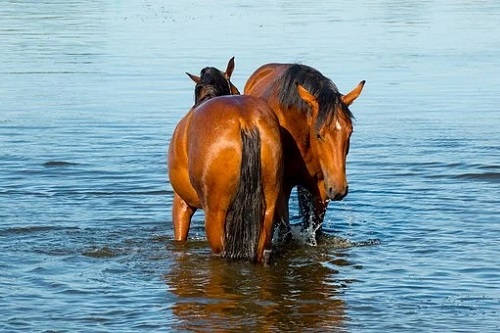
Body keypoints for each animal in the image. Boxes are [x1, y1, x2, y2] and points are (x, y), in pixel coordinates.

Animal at [244, 63, 366, 243]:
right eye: (318, 134)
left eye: (349, 132)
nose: (339, 189)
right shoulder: (282, 188)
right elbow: (285, 232)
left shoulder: (321, 186)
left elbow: (316, 230)